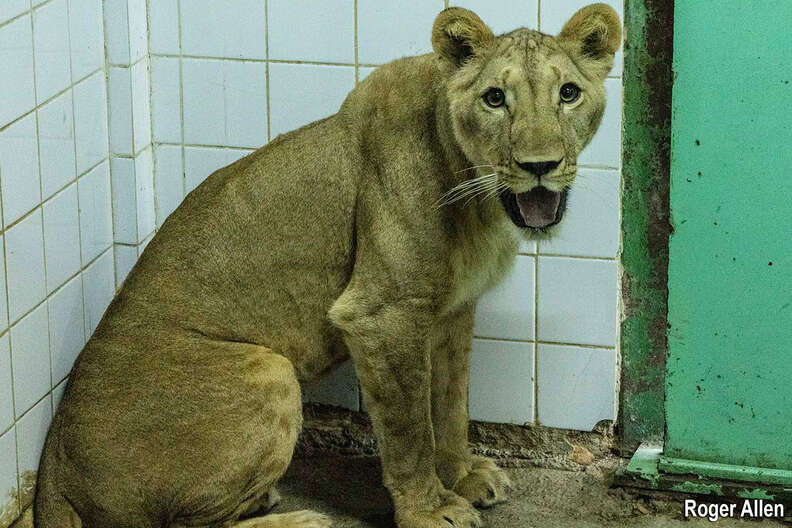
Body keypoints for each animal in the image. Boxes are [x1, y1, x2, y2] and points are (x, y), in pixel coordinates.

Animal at [33, 5, 620, 528]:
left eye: (568, 93)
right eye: (495, 98)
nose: (540, 166)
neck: (478, 195)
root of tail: (52, 472)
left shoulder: (453, 310)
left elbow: (451, 404)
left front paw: (464, 476)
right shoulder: (381, 315)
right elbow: (410, 429)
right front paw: (431, 511)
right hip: (267, 368)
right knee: (180, 526)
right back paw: (298, 520)